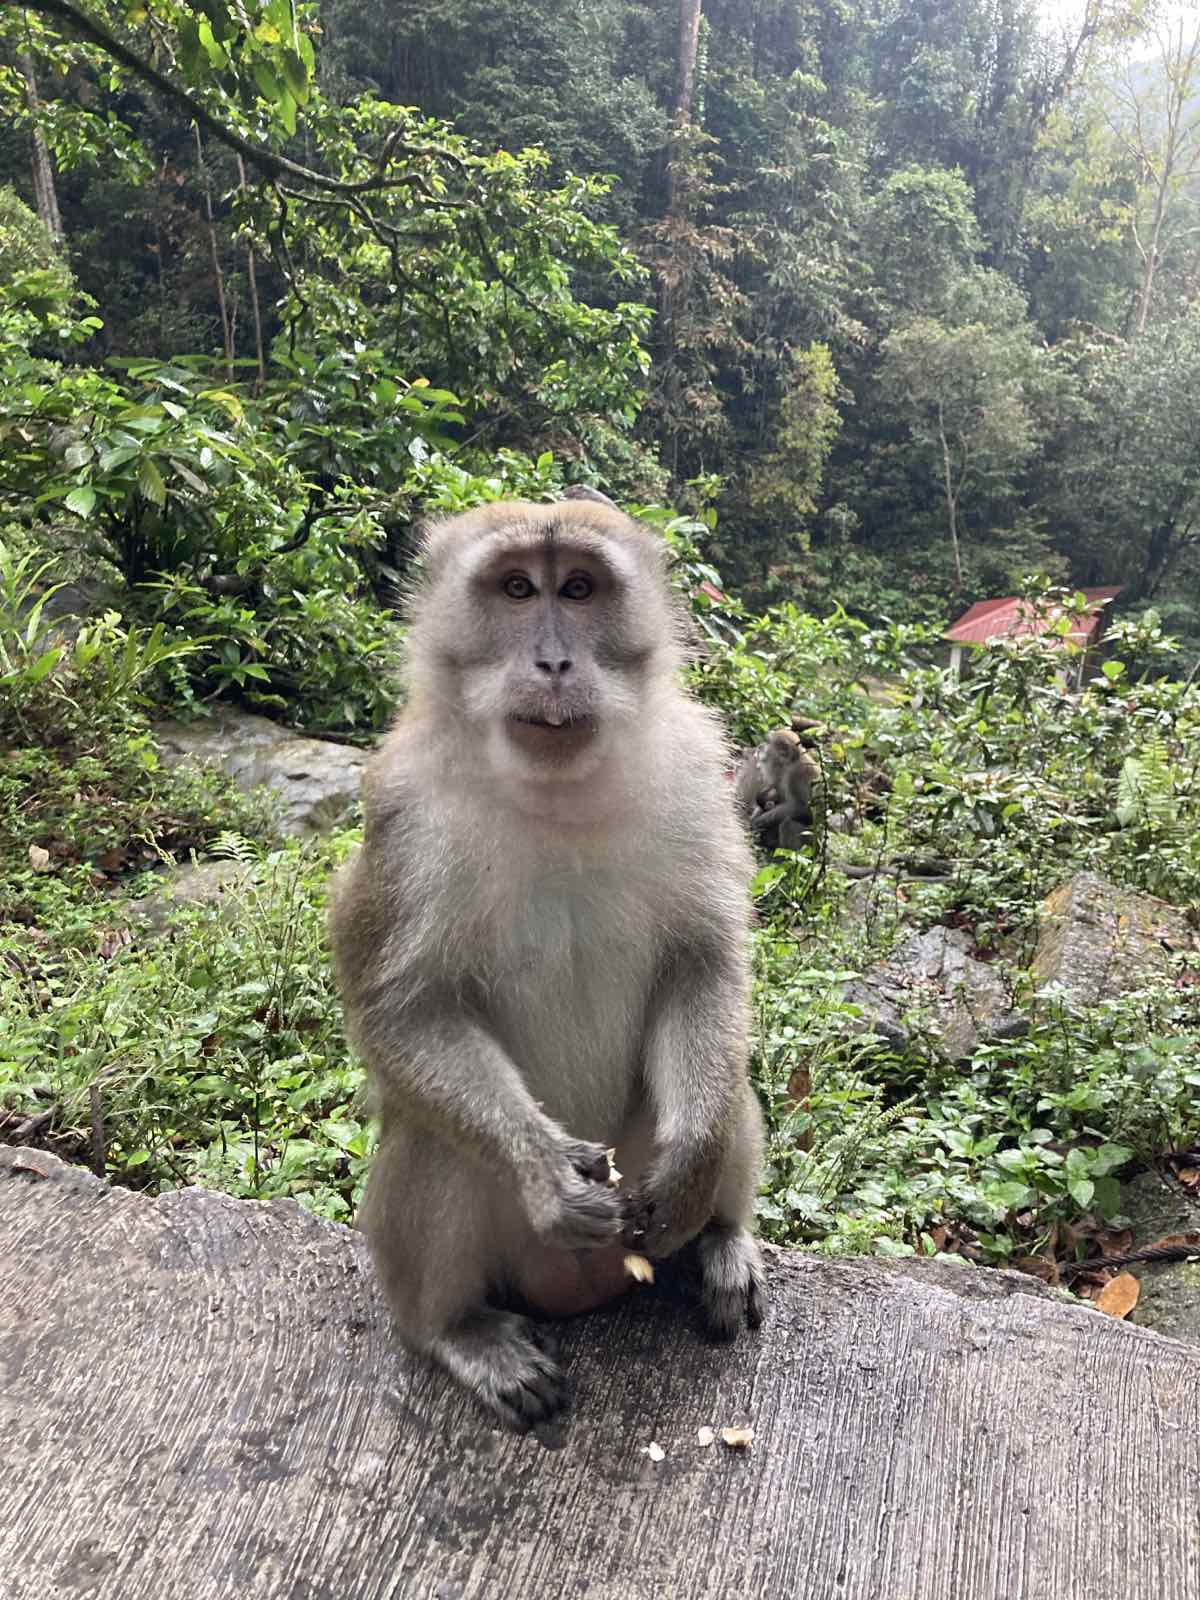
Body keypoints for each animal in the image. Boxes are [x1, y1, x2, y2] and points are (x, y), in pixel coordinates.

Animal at [329, 497, 765, 1434]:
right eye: (518, 590)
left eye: (580, 589)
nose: (555, 661)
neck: (556, 790)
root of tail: (582, 1291)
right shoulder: (401, 811)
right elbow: (402, 1011)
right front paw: (544, 1172)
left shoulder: (694, 770)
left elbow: (702, 960)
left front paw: (696, 1170)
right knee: (433, 1140)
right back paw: (455, 1331)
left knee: (728, 1083)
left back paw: (720, 1240)